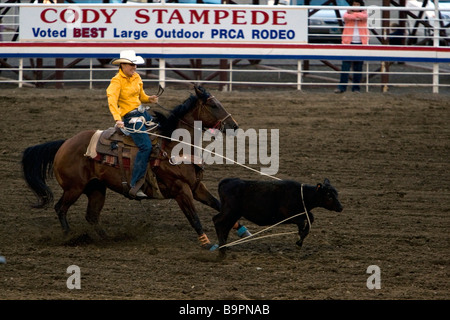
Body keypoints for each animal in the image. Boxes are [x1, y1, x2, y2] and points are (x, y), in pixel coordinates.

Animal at [22, 85, 243, 250]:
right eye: (213, 105)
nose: (234, 126)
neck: (173, 146)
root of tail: (65, 143)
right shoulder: (181, 190)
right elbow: (194, 217)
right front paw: (208, 244)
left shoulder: (197, 187)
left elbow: (219, 204)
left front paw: (243, 231)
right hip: (74, 188)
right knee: (60, 208)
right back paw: (69, 236)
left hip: (96, 188)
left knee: (92, 216)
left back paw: (107, 239)